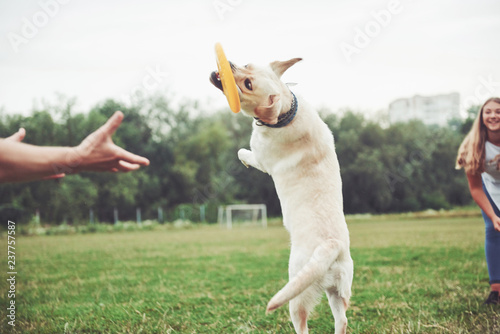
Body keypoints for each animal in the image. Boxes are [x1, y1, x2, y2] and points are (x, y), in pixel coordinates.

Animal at [209, 58, 354, 334]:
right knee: (341, 320)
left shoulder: (262, 159)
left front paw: (243, 160)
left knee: (302, 322)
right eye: (247, 64)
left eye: (248, 84)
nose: (228, 64)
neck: (288, 110)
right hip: (339, 290)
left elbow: (242, 151)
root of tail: (332, 245)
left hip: (297, 291)